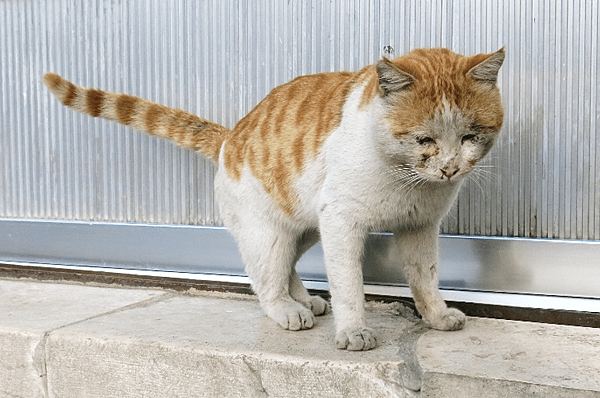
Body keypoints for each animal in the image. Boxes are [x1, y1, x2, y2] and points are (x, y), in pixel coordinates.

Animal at [42, 47, 504, 352]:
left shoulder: (418, 227)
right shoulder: (342, 224)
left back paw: (303, 299)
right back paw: (286, 309)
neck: (407, 180)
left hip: (303, 227)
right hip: (270, 232)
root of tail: (230, 135)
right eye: (424, 139)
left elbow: (425, 279)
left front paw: (436, 316)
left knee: (286, 266)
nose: (450, 169)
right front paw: (353, 331)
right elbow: (349, 286)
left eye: (470, 136)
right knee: (263, 278)